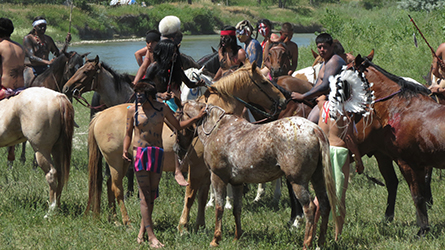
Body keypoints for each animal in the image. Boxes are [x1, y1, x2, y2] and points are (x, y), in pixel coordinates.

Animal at [0, 87, 73, 219]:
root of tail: (58, 97)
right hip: (58, 149)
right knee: (60, 174)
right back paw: (58, 208)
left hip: (41, 150)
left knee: (51, 174)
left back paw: (50, 211)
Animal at [180, 100, 340, 249]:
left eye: (180, 113)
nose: (180, 149)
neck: (218, 129)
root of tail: (315, 129)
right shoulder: (237, 183)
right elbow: (237, 209)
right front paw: (237, 237)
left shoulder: (218, 177)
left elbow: (219, 208)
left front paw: (215, 239)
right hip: (318, 178)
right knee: (324, 205)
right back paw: (320, 243)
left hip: (298, 182)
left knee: (310, 208)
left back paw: (307, 243)